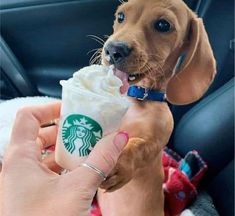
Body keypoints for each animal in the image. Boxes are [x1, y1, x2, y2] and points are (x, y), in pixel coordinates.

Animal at [98, 0, 217, 215]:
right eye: (120, 16)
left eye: (163, 25)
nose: (113, 50)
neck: (137, 98)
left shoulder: (156, 141)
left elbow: (138, 145)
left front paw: (120, 163)